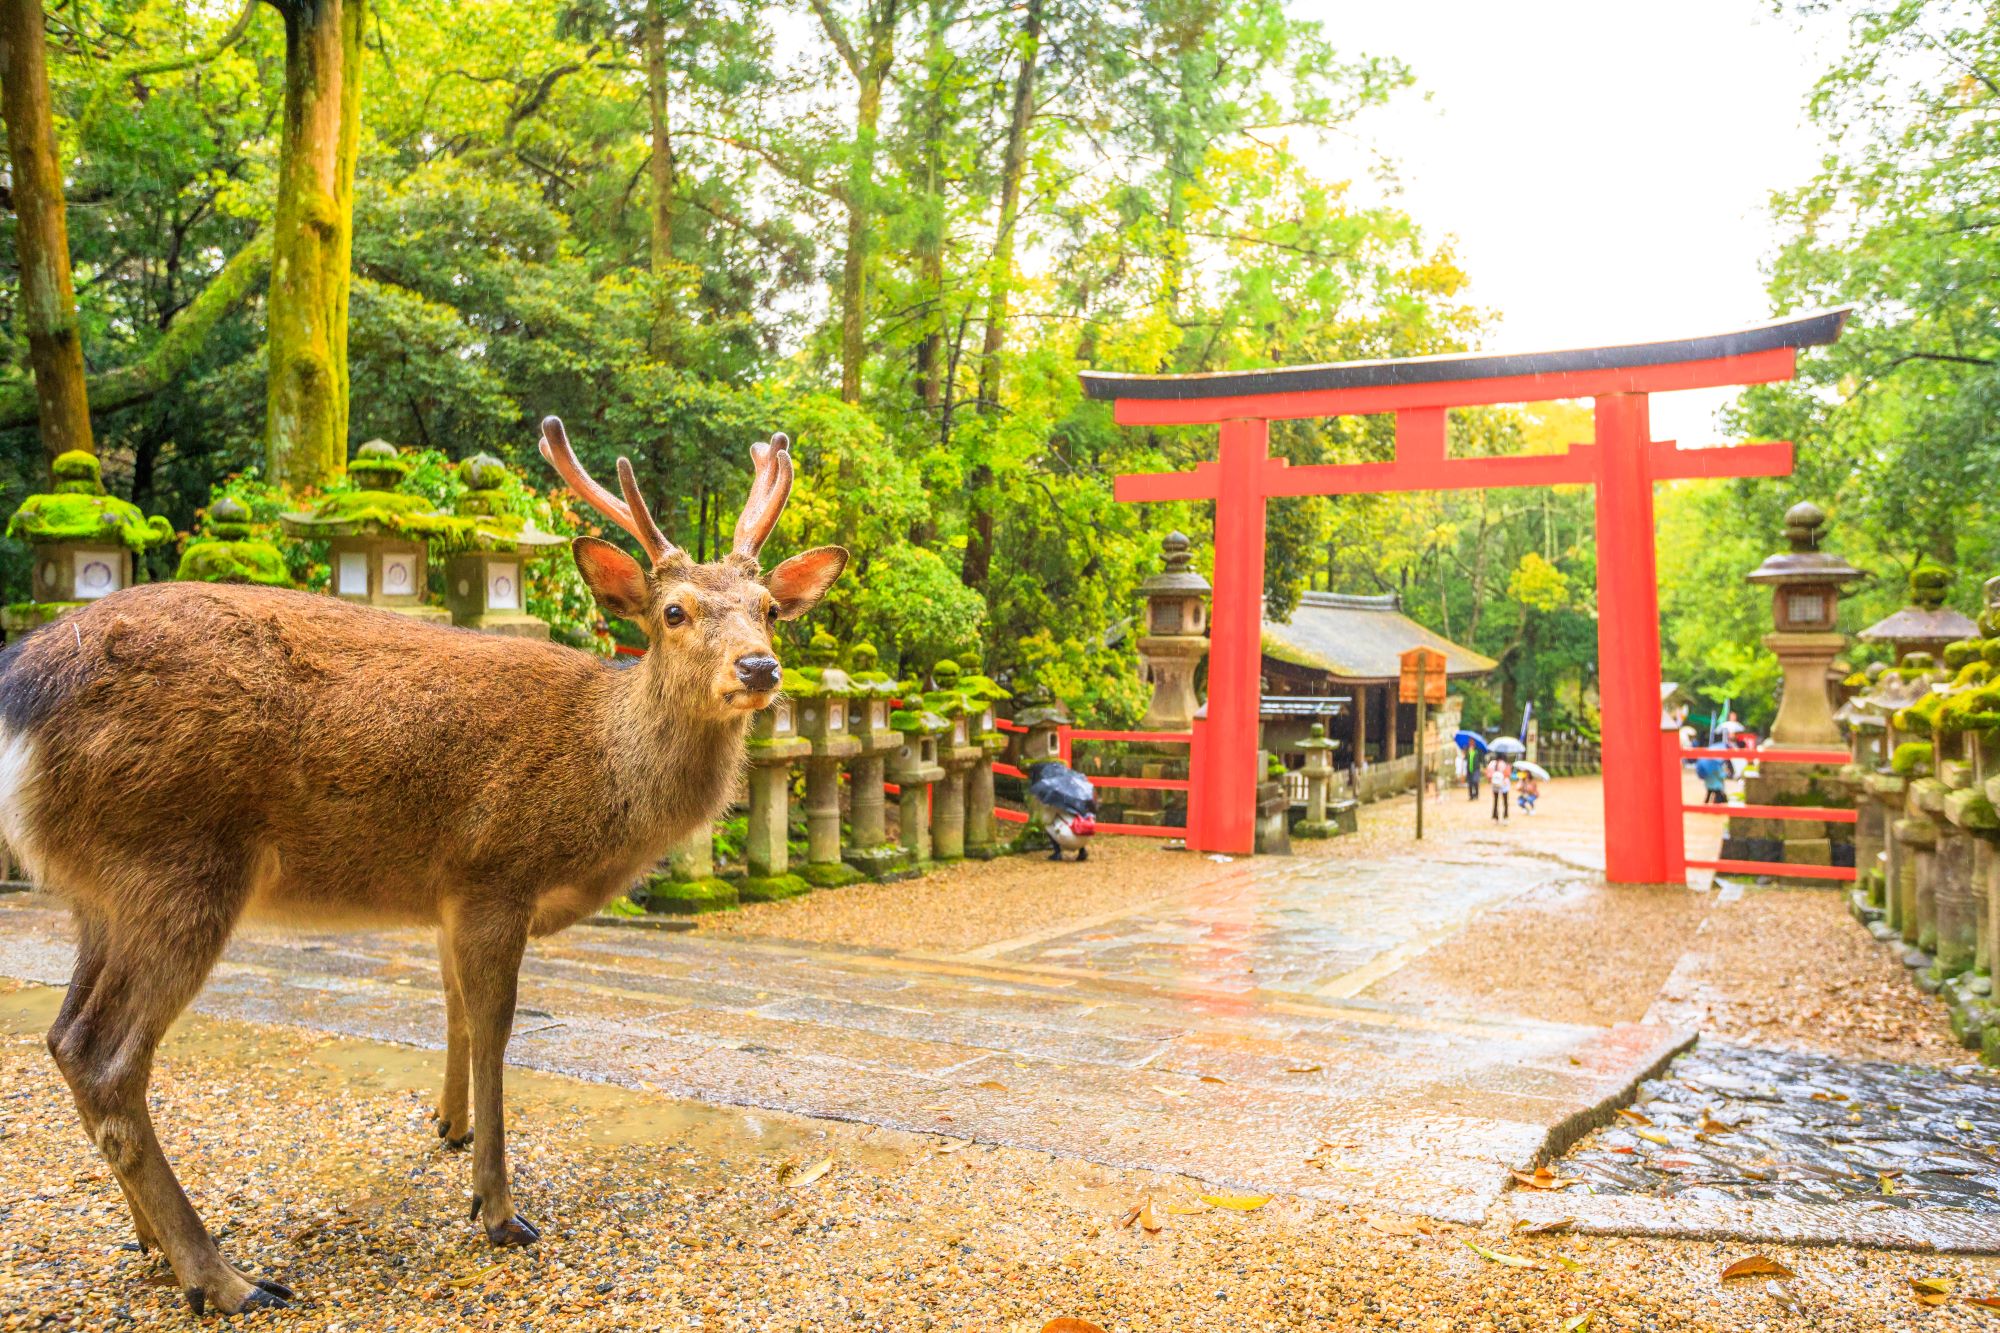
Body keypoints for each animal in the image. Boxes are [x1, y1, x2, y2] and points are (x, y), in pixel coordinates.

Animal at [0, 417, 846, 1316]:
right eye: (674, 611)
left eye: (769, 610)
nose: (759, 667)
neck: (598, 779)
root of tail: (18, 696)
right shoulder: (495, 868)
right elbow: (497, 1027)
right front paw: (498, 1208)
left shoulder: (446, 889)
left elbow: (453, 1009)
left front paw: (449, 1126)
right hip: (179, 860)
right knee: (107, 1056)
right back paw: (225, 1277)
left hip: (104, 889)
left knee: (65, 1037)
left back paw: (154, 1243)